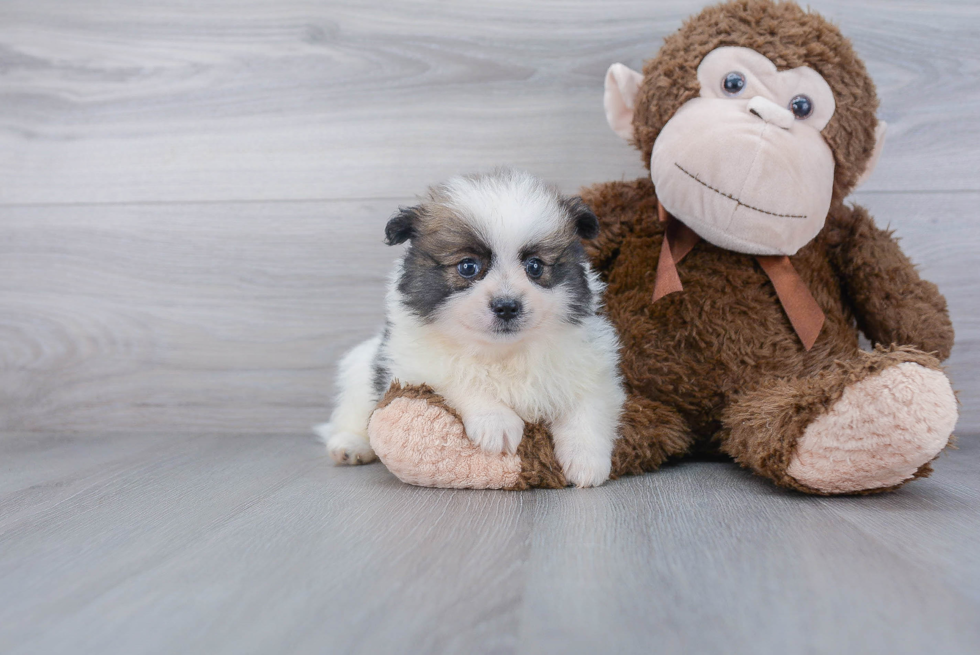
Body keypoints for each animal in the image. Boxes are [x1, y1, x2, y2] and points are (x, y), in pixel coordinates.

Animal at [318, 169, 624, 486]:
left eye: (535, 267)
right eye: (468, 267)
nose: (507, 306)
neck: (503, 353)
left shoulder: (591, 367)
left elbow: (588, 407)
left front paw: (587, 460)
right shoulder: (415, 364)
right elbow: (460, 377)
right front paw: (496, 422)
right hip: (359, 376)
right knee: (351, 418)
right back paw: (350, 446)